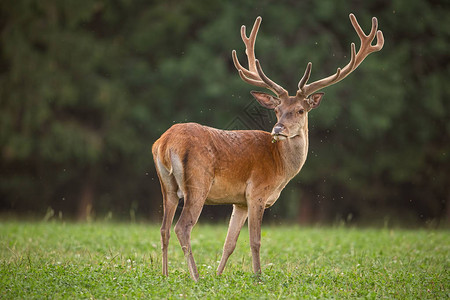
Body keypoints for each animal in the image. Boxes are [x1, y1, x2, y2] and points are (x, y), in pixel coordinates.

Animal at [152, 13, 384, 282]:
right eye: (277, 110)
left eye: (300, 110)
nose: (278, 128)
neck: (280, 166)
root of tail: (165, 143)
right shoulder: (257, 192)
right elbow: (255, 241)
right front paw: (258, 277)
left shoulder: (239, 202)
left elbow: (229, 243)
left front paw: (219, 276)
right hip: (198, 182)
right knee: (183, 226)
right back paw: (196, 277)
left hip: (166, 185)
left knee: (164, 228)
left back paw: (165, 275)